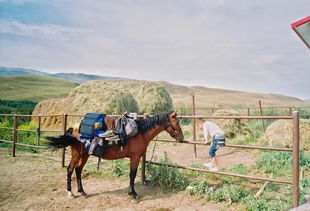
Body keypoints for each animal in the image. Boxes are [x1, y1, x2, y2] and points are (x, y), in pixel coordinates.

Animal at [44, 111, 183, 199]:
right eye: (176, 123)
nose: (181, 138)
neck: (141, 133)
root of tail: (74, 129)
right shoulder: (135, 158)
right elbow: (132, 175)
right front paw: (133, 194)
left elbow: (132, 175)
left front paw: (132, 193)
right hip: (77, 154)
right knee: (70, 169)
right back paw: (70, 193)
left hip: (85, 154)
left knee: (78, 170)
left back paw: (82, 192)